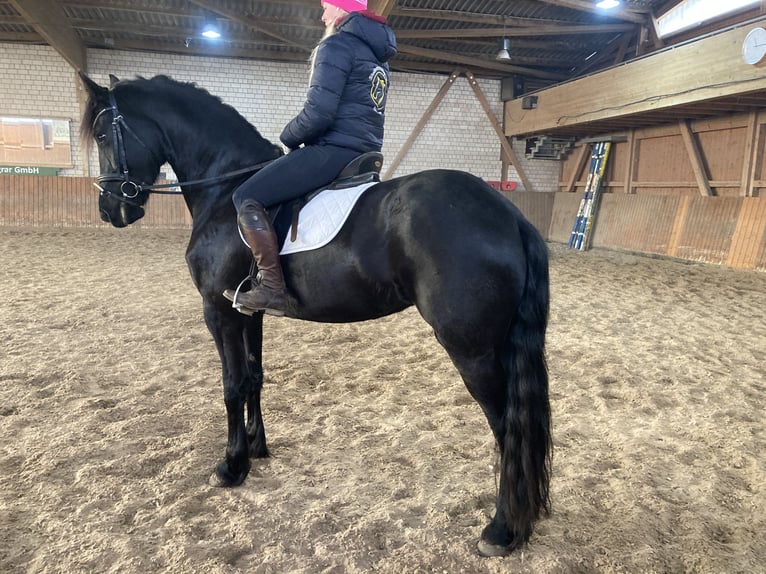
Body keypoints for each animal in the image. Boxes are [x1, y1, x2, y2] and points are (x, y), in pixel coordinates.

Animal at [79, 72, 552, 557]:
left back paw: (500, 530)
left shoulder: (218, 310)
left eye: (102, 135)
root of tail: (510, 217)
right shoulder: (249, 312)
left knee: (506, 426)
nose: (110, 210)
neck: (224, 192)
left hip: (472, 350)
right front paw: (257, 447)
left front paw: (231, 466)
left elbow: (231, 385)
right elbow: (254, 377)